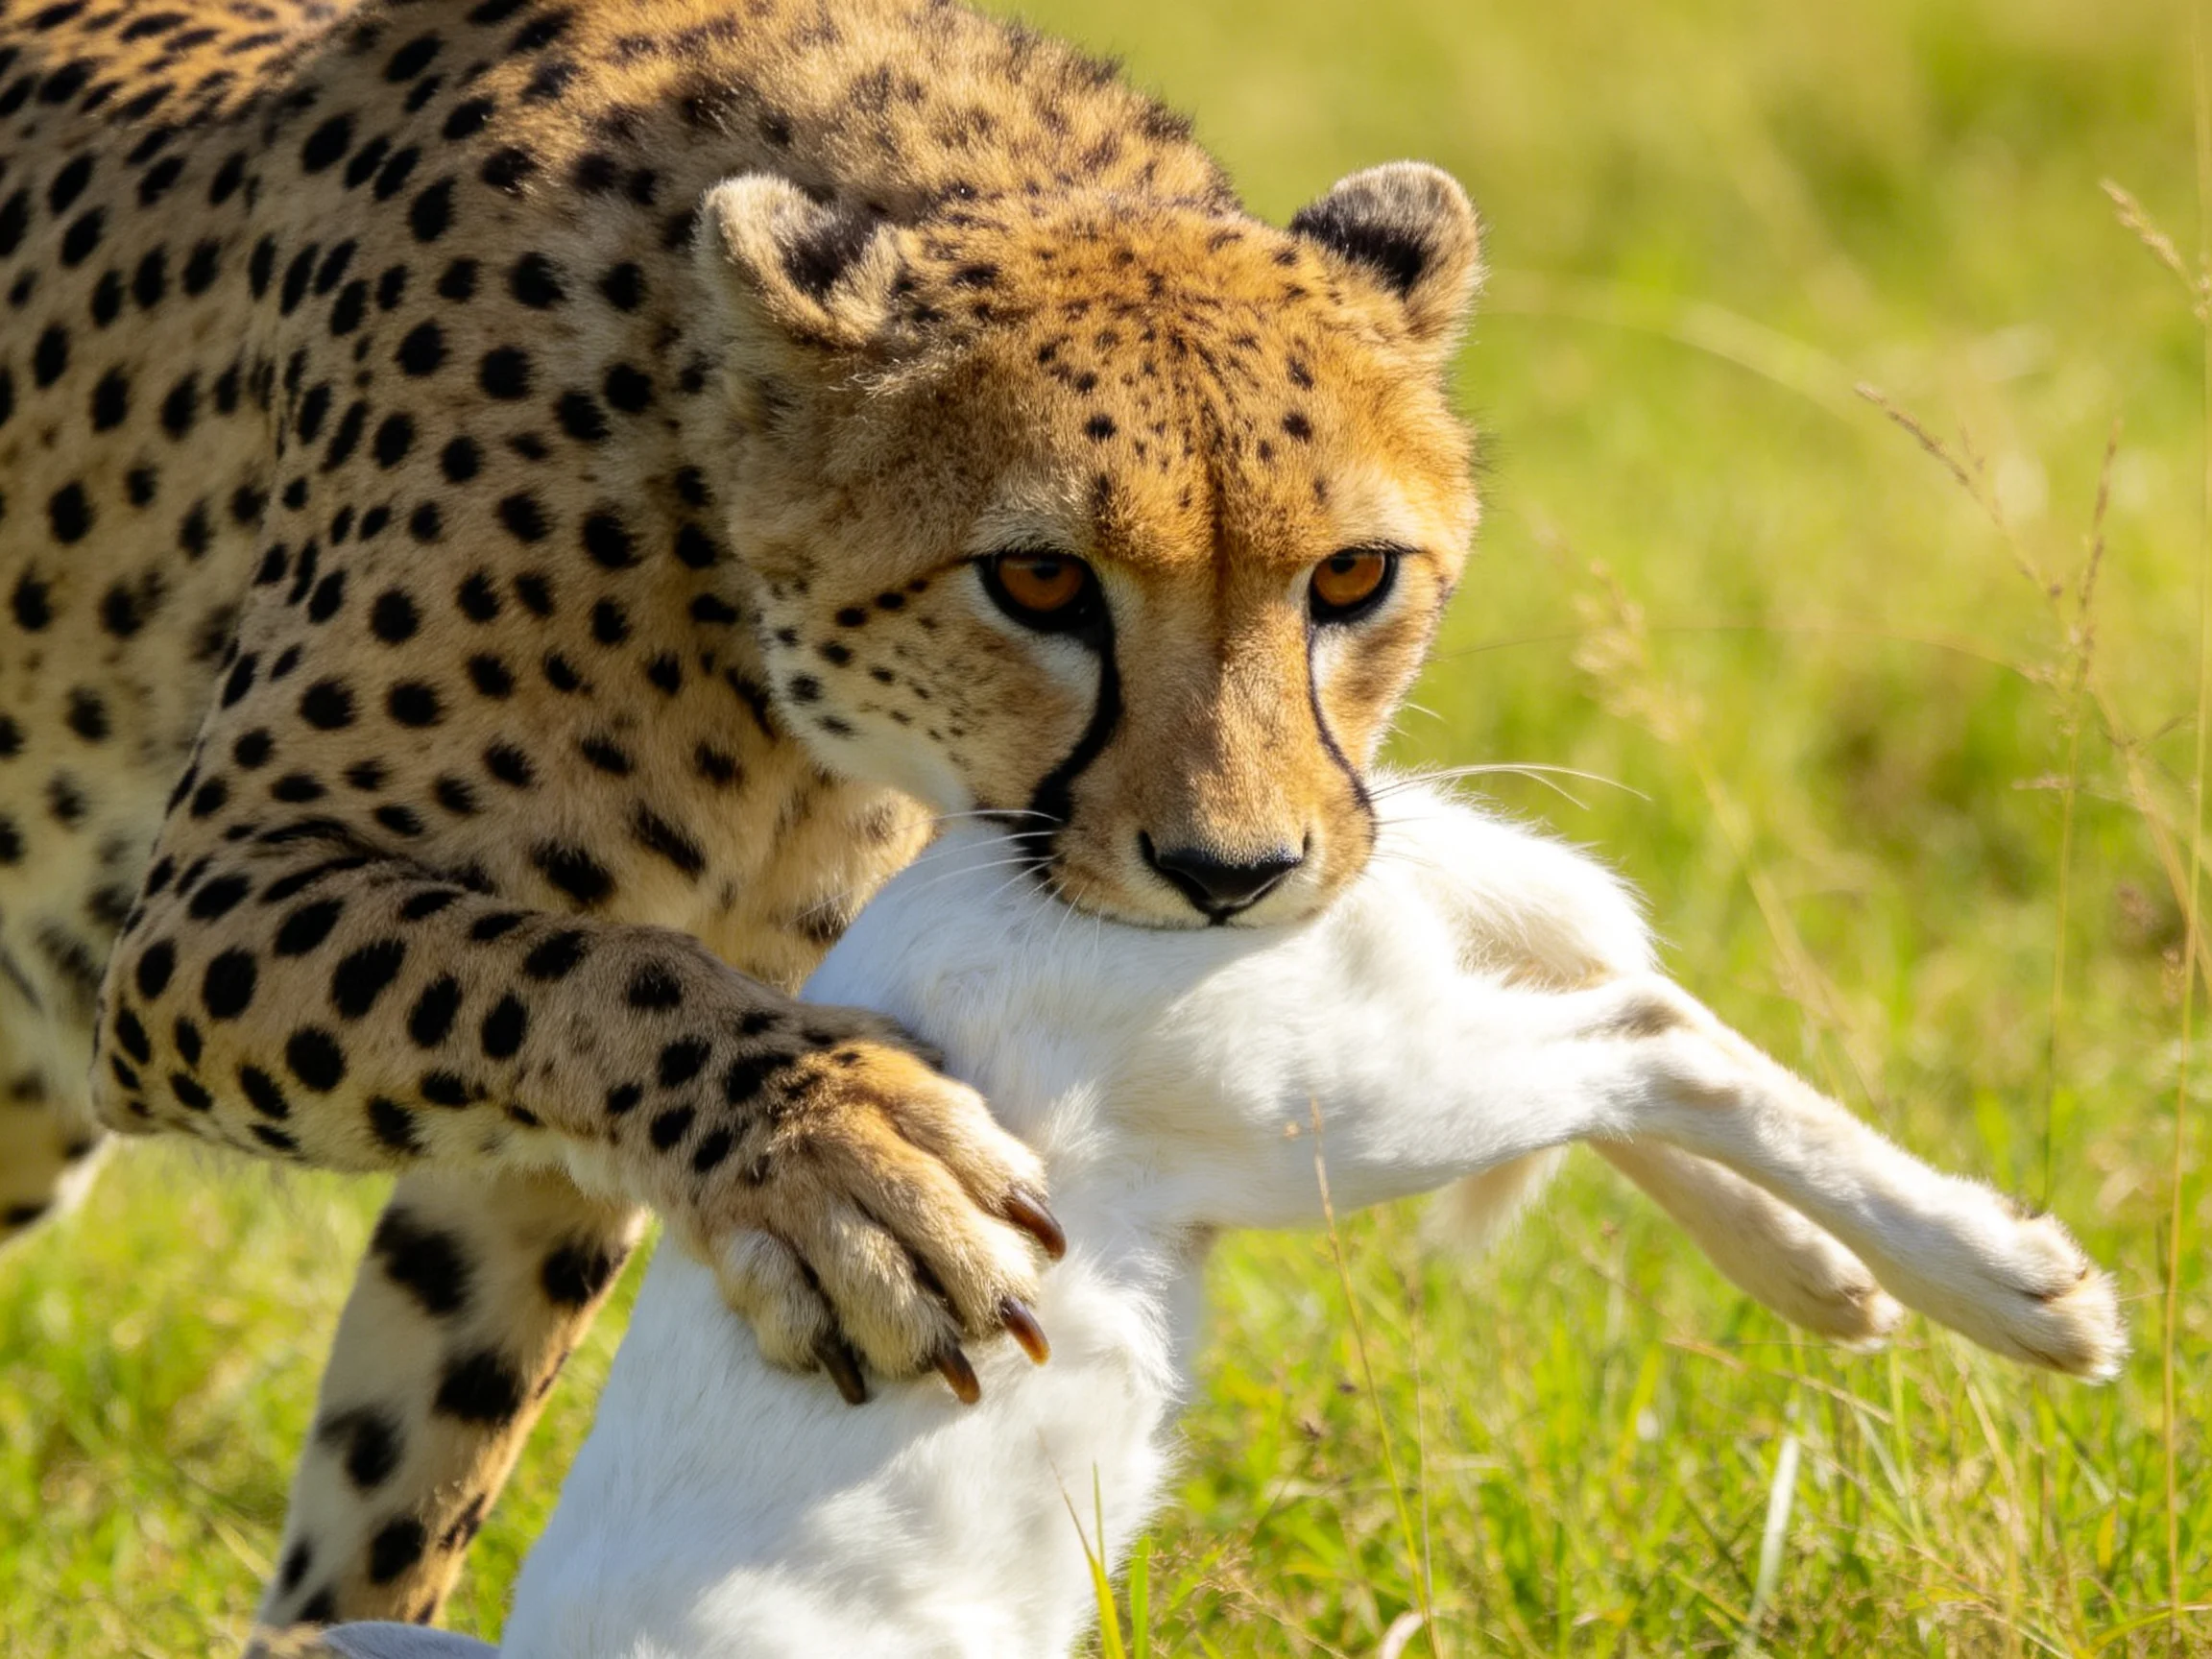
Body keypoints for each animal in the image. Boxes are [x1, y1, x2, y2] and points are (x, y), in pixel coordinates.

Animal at [0, 0, 1491, 1641]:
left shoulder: (522, 1158)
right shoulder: (194, 916)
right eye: (1039, 579)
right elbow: (583, 966)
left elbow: (406, 1462)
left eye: (1353, 576)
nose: (1234, 872)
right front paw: (847, 1155)